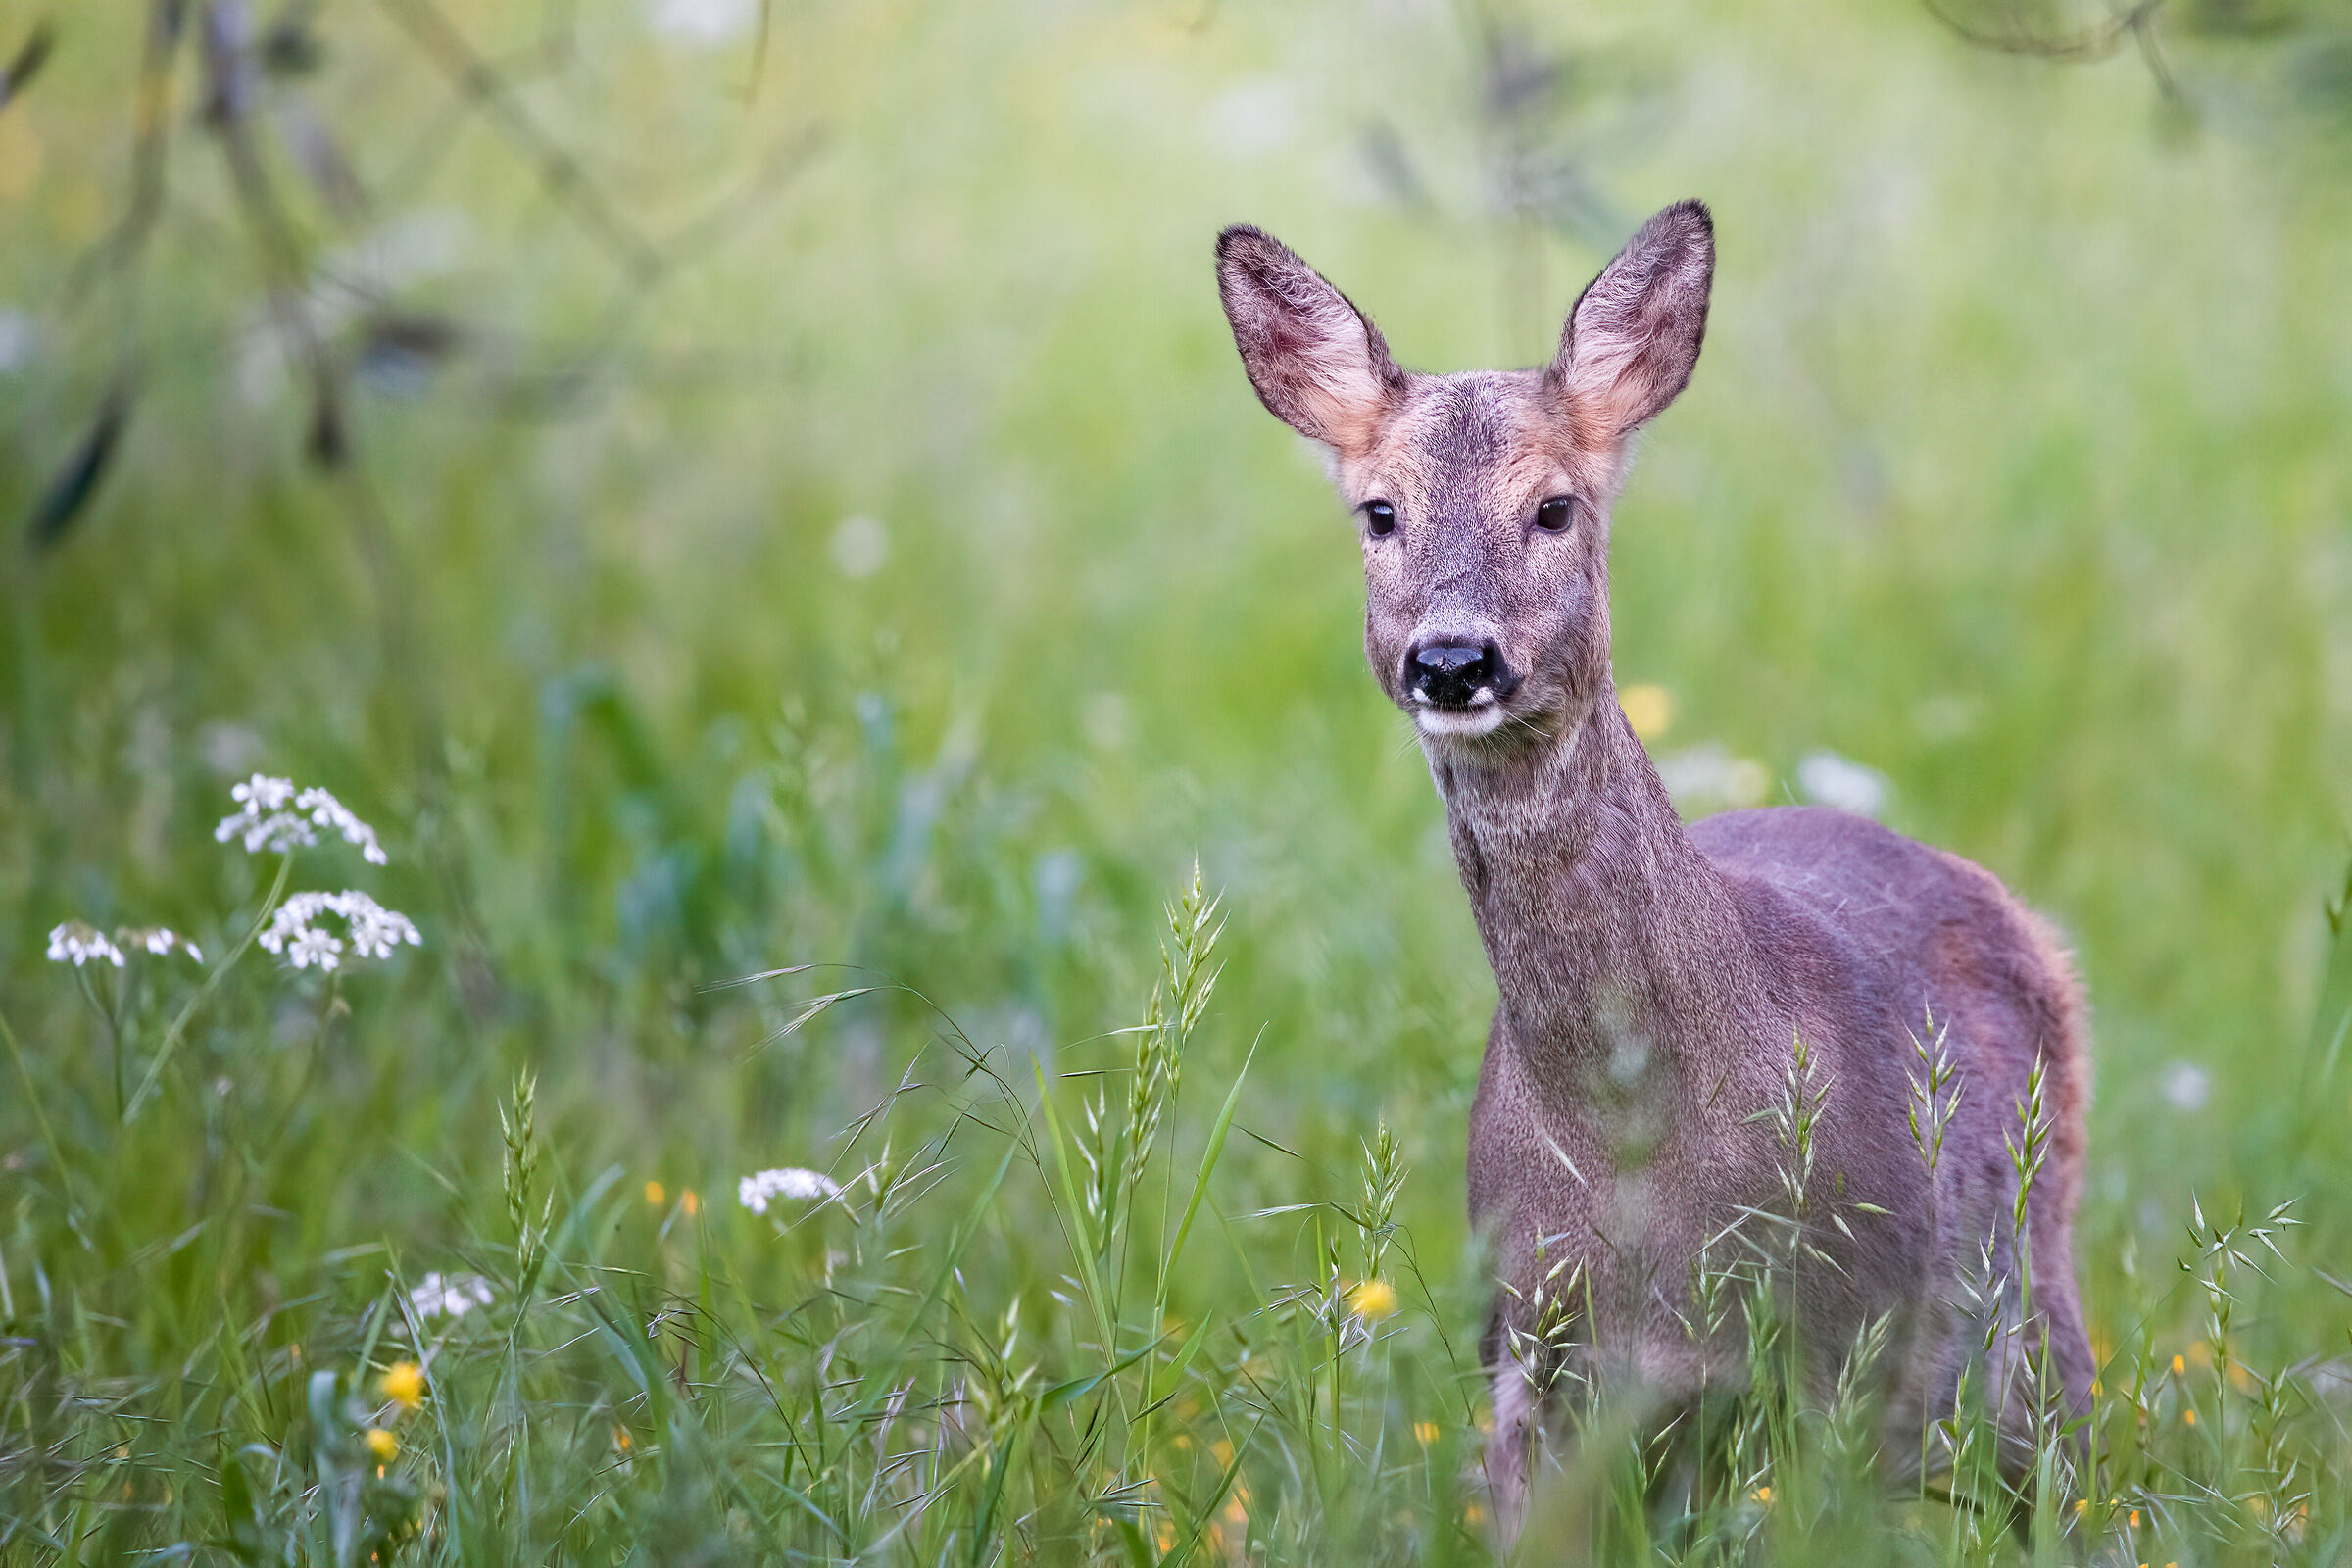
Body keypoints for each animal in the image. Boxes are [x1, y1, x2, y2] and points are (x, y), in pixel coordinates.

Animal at [1214, 201, 2093, 1542]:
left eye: (1553, 507)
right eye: (1378, 511)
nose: (1454, 659)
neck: (1638, 1143)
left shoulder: (1839, 1345)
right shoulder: (1529, 1351)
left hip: (2019, 1308)